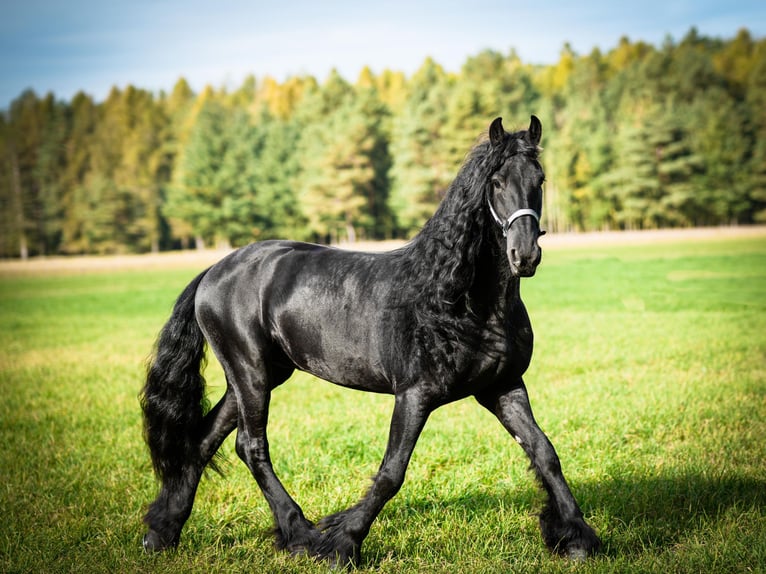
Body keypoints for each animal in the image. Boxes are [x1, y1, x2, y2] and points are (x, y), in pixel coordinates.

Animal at [139, 116, 601, 566]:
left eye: (539, 179)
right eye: (497, 181)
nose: (525, 256)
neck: (459, 299)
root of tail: (214, 271)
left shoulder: (502, 387)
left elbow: (545, 453)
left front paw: (578, 538)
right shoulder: (414, 395)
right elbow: (392, 472)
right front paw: (342, 543)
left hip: (261, 375)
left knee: (204, 441)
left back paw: (163, 531)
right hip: (250, 373)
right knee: (251, 446)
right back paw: (301, 535)